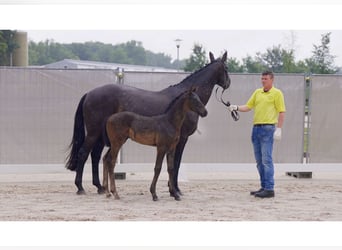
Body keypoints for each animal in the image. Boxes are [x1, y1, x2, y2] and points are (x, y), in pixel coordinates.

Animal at [65, 51, 231, 195]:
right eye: (226, 68)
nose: (228, 83)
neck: (183, 103)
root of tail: (89, 93)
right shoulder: (182, 138)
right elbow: (176, 163)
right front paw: (176, 190)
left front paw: (172, 189)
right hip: (94, 133)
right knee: (83, 153)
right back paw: (80, 187)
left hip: (101, 135)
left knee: (95, 155)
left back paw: (100, 187)